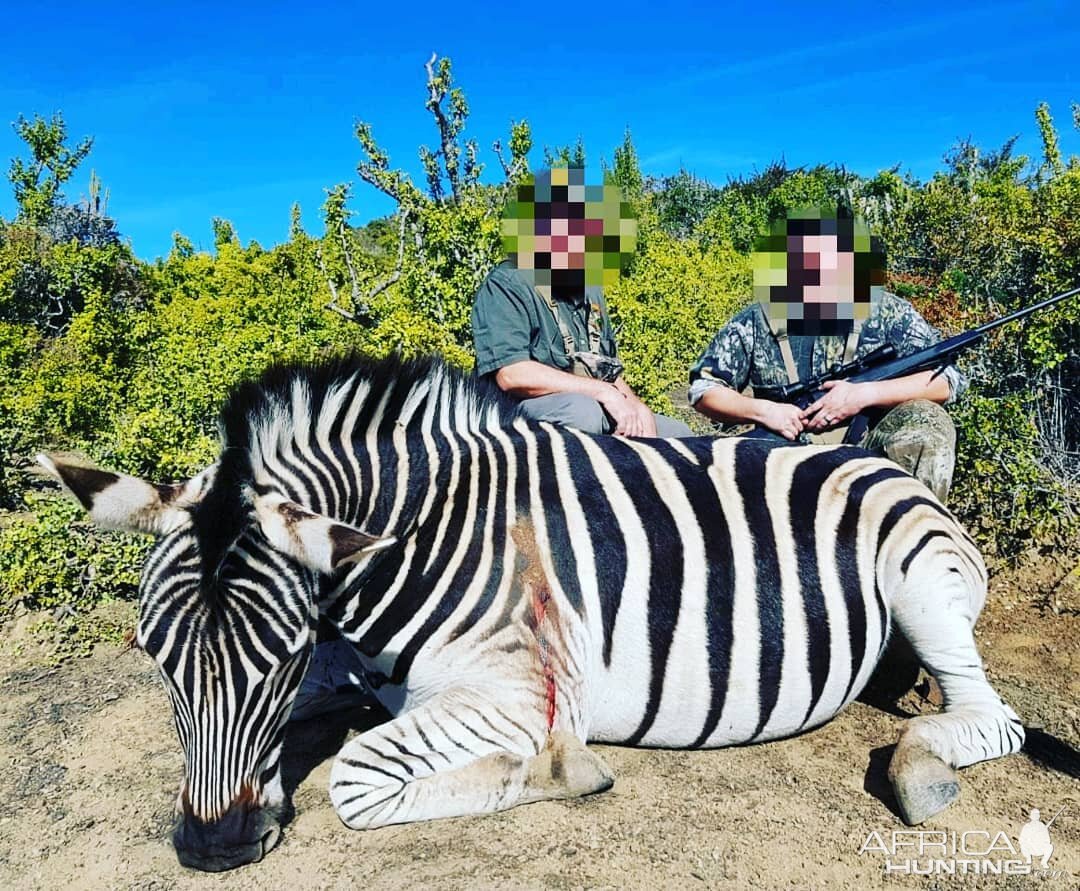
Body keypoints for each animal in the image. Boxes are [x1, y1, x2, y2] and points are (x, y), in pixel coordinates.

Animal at [38, 352, 1023, 868]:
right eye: (154, 655)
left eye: (278, 654)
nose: (214, 846)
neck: (419, 537)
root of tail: (874, 460)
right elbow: (314, 722)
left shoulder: (515, 693)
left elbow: (358, 779)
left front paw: (561, 770)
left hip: (921, 582)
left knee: (994, 715)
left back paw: (922, 766)